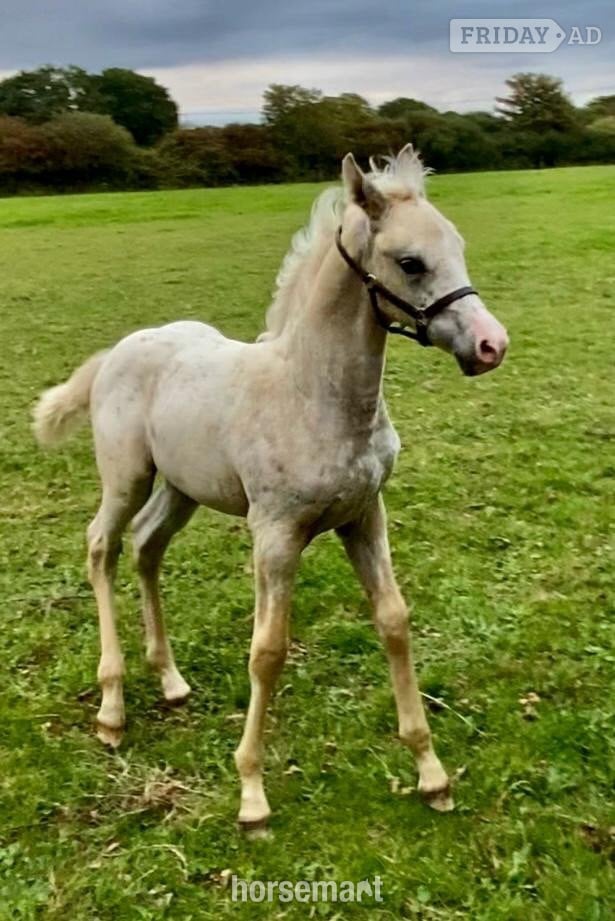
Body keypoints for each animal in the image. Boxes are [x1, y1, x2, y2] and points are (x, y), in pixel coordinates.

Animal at [33, 145, 508, 830]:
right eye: (410, 262)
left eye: (458, 246)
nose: (491, 345)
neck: (315, 396)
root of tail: (118, 351)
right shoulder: (276, 534)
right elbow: (268, 650)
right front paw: (252, 794)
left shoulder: (365, 515)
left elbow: (393, 620)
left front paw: (432, 773)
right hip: (126, 476)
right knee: (103, 547)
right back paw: (112, 709)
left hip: (181, 488)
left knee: (148, 547)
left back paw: (170, 680)